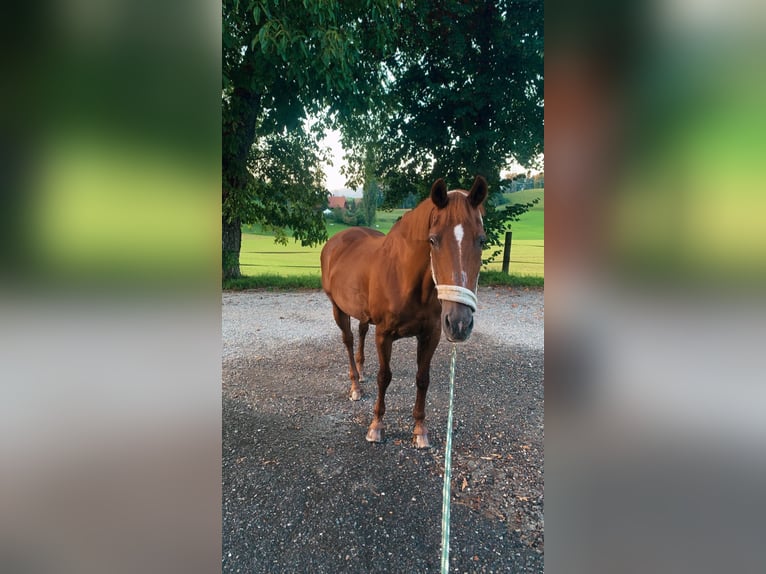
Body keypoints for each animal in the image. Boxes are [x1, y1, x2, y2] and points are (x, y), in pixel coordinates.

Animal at [320, 176, 488, 450]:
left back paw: (361, 373)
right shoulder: (384, 334)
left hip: (362, 313)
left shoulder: (430, 335)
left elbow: (422, 378)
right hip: (338, 309)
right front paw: (376, 426)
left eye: (481, 240)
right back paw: (355, 386)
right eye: (433, 240)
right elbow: (384, 377)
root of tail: (336, 242)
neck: (404, 277)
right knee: (348, 341)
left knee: (361, 332)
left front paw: (420, 429)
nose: (459, 324)